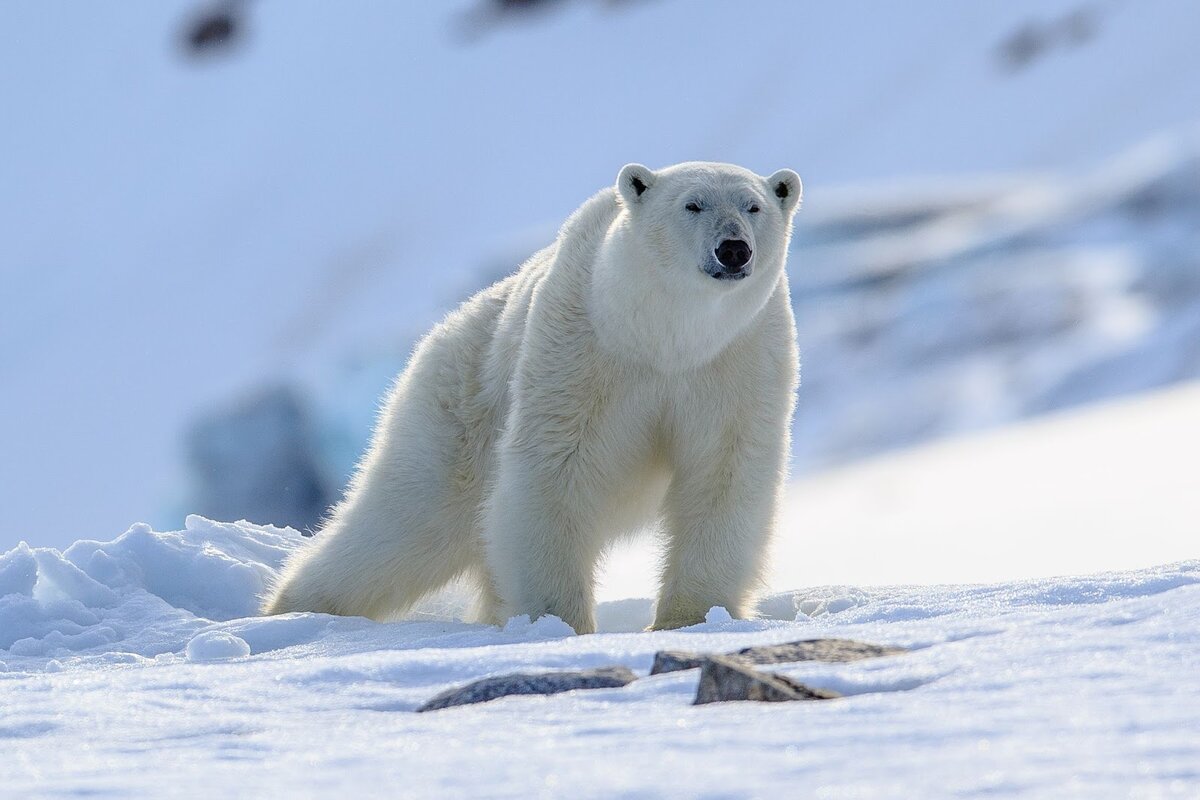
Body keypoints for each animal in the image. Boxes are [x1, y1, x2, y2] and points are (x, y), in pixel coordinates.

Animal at [259, 163, 801, 633]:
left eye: (753, 206)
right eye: (692, 204)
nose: (733, 249)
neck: (664, 338)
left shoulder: (739, 361)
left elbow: (724, 473)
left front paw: (690, 619)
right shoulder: (581, 350)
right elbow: (557, 469)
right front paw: (559, 622)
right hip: (459, 410)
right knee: (407, 521)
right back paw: (293, 610)